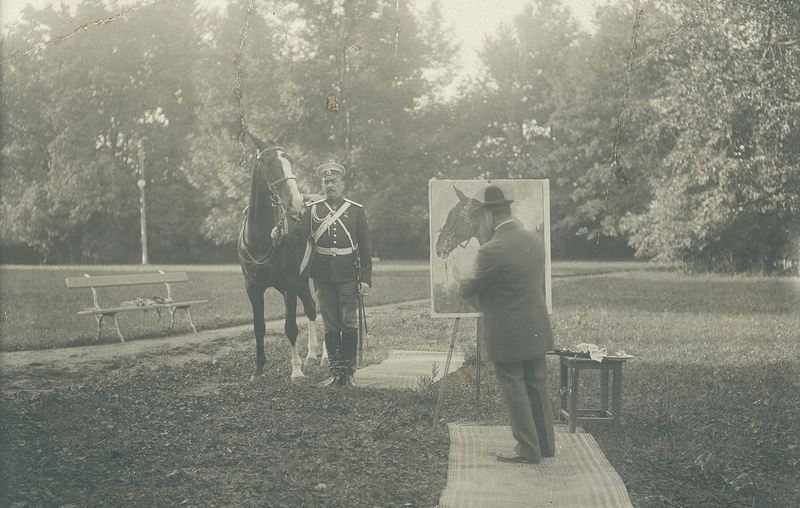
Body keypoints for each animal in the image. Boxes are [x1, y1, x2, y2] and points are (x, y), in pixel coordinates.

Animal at [238, 133, 324, 382]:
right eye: (268, 162)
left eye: (290, 160)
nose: (295, 203)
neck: (260, 240)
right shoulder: (252, 286)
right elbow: (259, 327)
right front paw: (258, 369)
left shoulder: (289, 284)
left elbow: (290, 327)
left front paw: (296, 370)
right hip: (303, 280)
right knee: (312, 308)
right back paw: (311, 355)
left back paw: (324, 356)